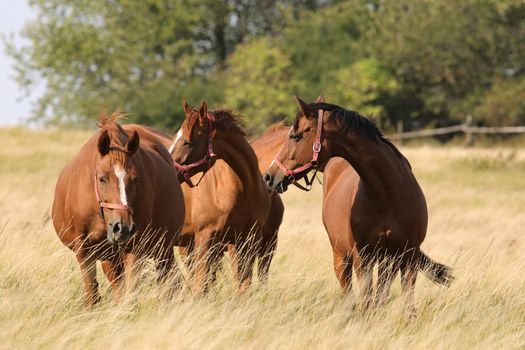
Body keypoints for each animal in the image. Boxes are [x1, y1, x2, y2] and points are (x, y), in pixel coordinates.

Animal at [51, 113, 185, 304]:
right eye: (102, 178)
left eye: (135, 179)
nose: (122, 228)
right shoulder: (83, 251)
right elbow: (93, 294)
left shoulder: (134, 248)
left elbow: (131, 291)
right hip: (111, 258)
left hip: (162, 249)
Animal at [165, 101, 278, 296]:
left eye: (187, 142)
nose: (169, 169)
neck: (243, 189)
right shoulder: (205, 239)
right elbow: (201, 287)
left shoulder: (248, 241)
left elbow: (243, 285)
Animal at [264, 98, 452, 314]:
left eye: (295, 136)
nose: (269, 176)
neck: (387, 195)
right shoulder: (363, 257)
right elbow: (367, 301)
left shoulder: (407, 255)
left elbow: (403, 305)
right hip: (341, 256)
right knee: (349, 293)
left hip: (388, 260)